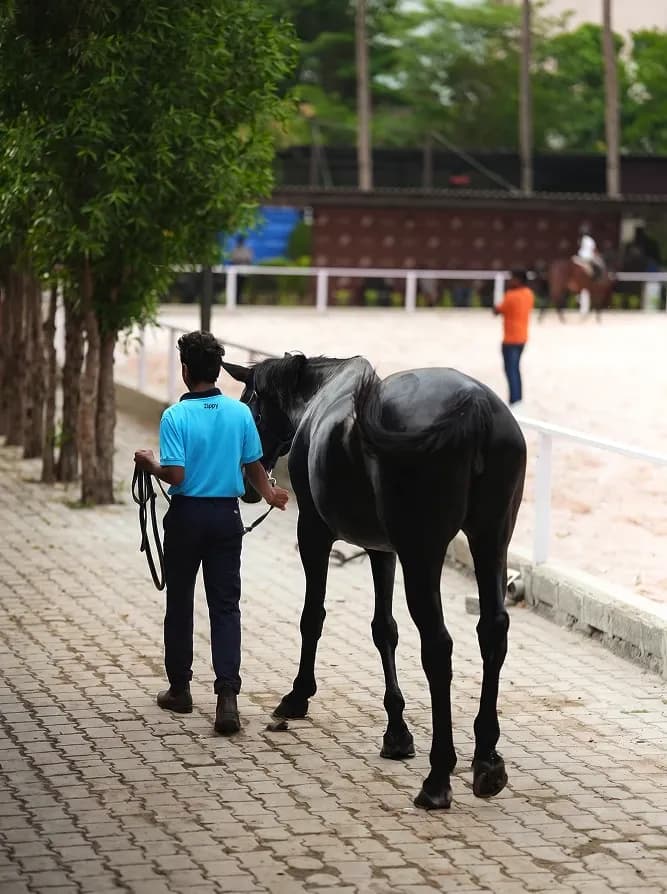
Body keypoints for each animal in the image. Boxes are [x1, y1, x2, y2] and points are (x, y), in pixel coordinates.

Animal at [222, 353, 527, 810]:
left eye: (248, 407)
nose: (246, 484)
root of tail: (474, 406)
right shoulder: (382, 548)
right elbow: (384, 629)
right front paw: (396, 733)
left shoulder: (313, 533)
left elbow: (312, 616)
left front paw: (297, 696)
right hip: (490, 539)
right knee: (492, 632)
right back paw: (486, 762)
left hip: (424, 553)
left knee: (438, 646)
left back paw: (437, 779)